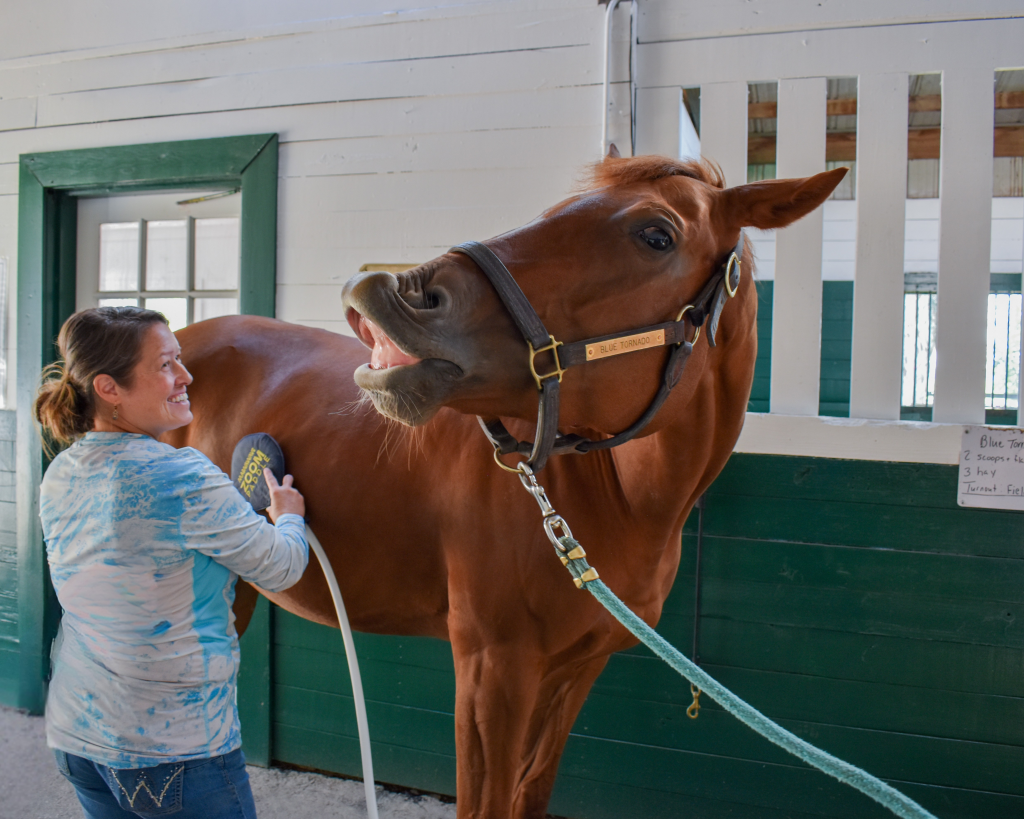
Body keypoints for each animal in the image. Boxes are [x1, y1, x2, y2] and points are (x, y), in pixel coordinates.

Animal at [167, 153, 845, 819]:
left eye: (657, 235)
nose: (389, 293)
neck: (615, 504)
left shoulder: (578, 668)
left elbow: (532, 790)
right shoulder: (494, 669)